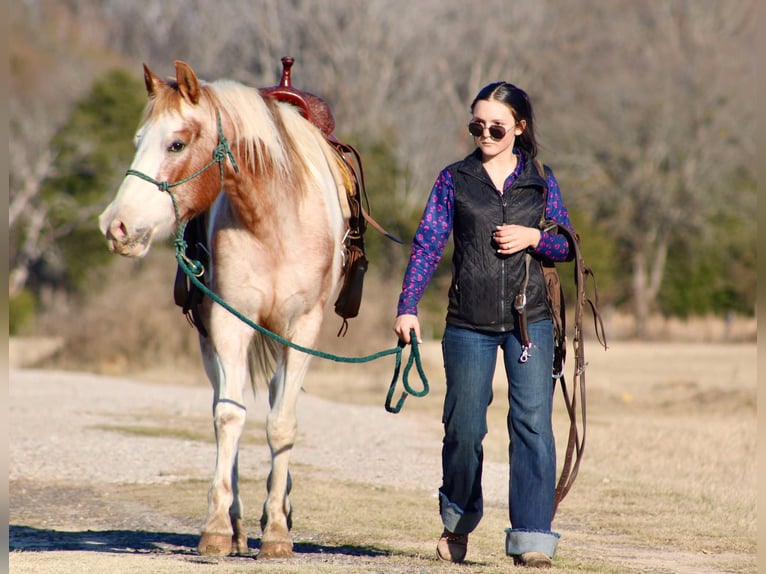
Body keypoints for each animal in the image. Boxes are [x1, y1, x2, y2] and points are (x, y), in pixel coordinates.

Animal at [97, 60, 356, 560]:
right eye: (139, 140)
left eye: (176, 143)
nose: (116, 225)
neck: (273, 218)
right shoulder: (229, 322)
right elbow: (229, 416)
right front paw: (218, 526)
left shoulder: (303, 329)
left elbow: (282, 424)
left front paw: (277, 531)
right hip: (210, 339)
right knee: (225, 405)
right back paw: (236, 525)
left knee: (276, 400)